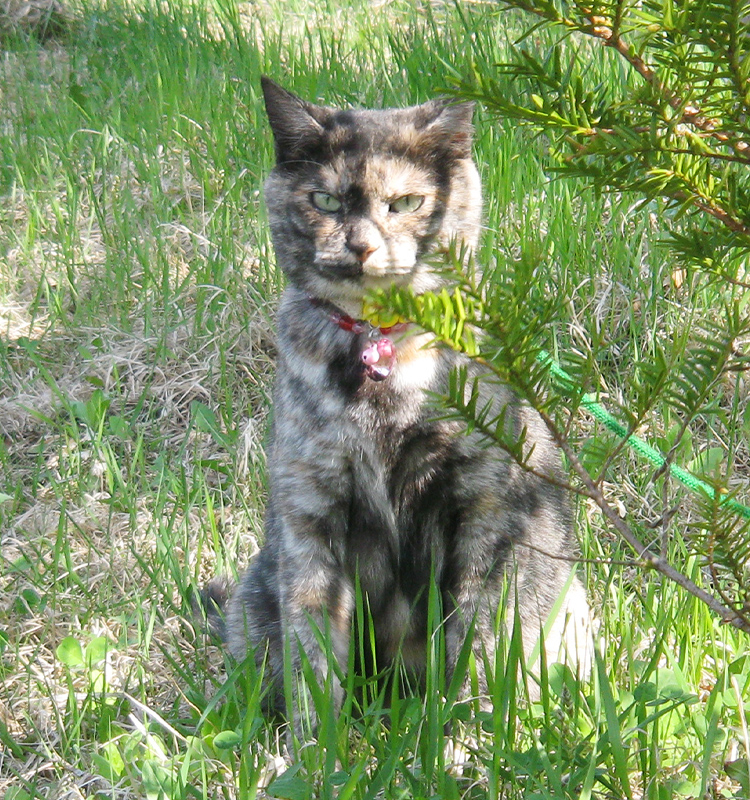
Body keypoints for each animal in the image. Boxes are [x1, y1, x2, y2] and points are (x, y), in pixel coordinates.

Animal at [220, 76, 592, 736]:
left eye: (407, 203)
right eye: (326, 200)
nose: (362, 245)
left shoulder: (483, 508)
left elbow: (478, 640)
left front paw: (465, 738)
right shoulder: (311, 515)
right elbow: (314, 654)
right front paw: (318, 750)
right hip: (256, 597)